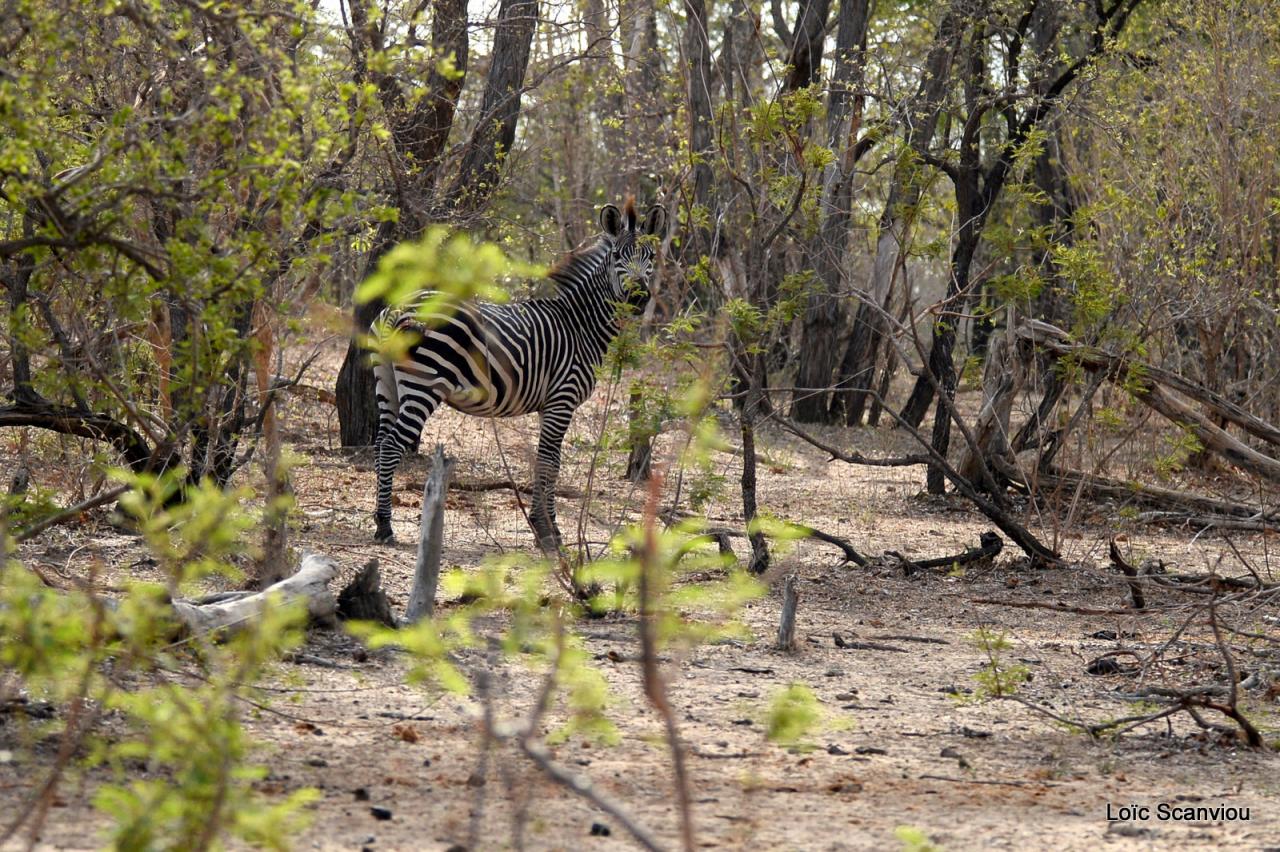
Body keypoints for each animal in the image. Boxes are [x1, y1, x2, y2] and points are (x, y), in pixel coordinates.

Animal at [371, 197, 670, 547]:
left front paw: (544, 525)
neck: (581, 325)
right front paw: (547, 530)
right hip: (424, 384)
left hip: (386, 382)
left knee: (380, 443)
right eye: (618, 257)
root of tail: (399, 307)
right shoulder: (562, 400)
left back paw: (378, 519)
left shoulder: (548, 406)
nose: (639, 298)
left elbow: (547, 462)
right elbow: (550, 463)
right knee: (392, 445)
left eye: (650, 257)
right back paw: (386, 526)